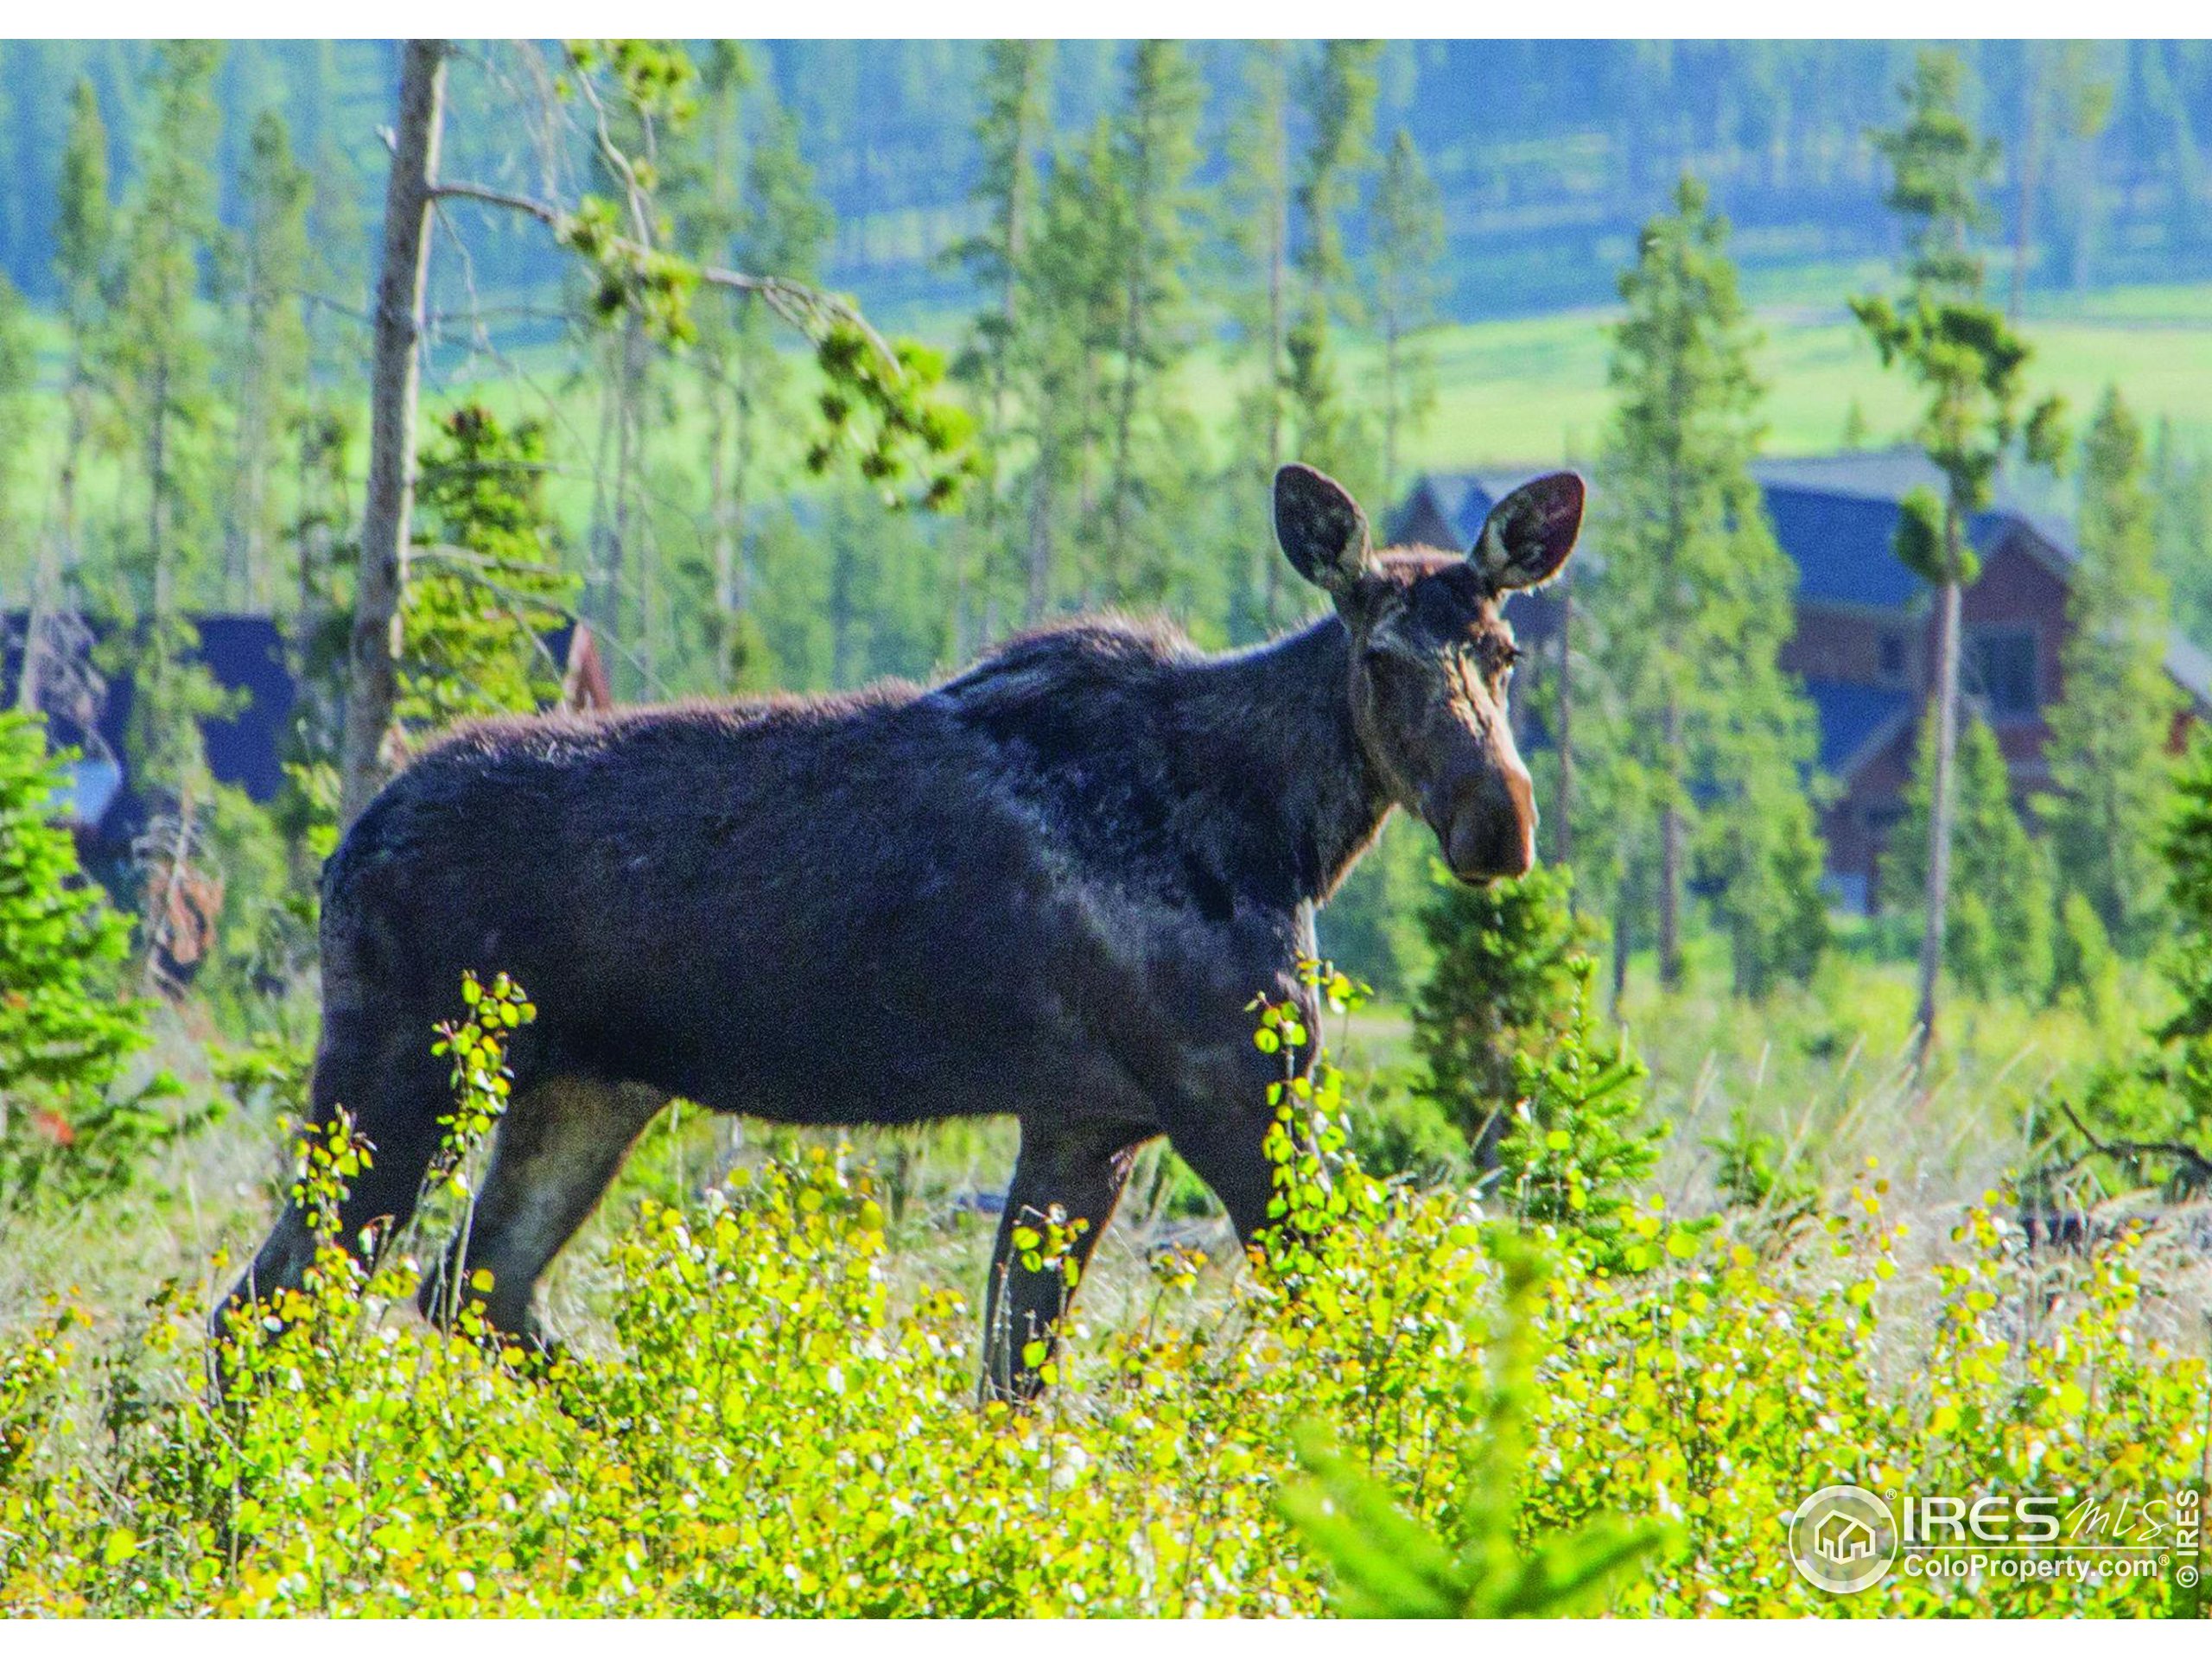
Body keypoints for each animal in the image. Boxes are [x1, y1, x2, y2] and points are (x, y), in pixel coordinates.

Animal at [219, 468, 1574, 1407]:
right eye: (1382, 657)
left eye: (1505, 651)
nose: (1499, 820)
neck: (1286, 831)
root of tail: (343, 850)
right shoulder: (1231, 1096)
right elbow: (1343, 1319)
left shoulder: (1088, 1122)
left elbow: (1010, 1384)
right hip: (405, 1070)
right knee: (266, 1306)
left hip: (584, 1089)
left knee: (472, 1287)